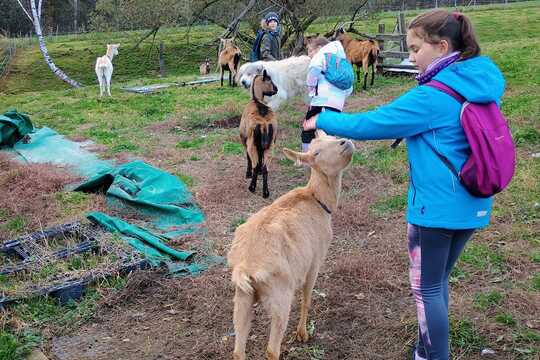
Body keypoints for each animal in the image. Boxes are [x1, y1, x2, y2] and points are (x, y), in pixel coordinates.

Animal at [228, 130, 354, 360]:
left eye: (332, 137)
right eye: (316, 152)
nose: (345, 141)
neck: (317, 200)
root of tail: (246, 267)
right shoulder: (314, 262)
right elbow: (306, 298)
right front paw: (302, 334)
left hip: (242, 297)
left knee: (238, 349)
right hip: (280, 297)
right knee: (272, 349)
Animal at [239, 69, 278, 200]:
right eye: (270, 80)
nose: (276, 89)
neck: (256, 99)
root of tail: (264, 124)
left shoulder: (245, 139)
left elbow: (247, 157)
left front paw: (248, 174)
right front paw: (260, 170)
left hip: (252, 143)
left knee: (254, 163)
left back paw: (252, 187)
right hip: (271, 144)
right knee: (266, 168)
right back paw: (266, 192)